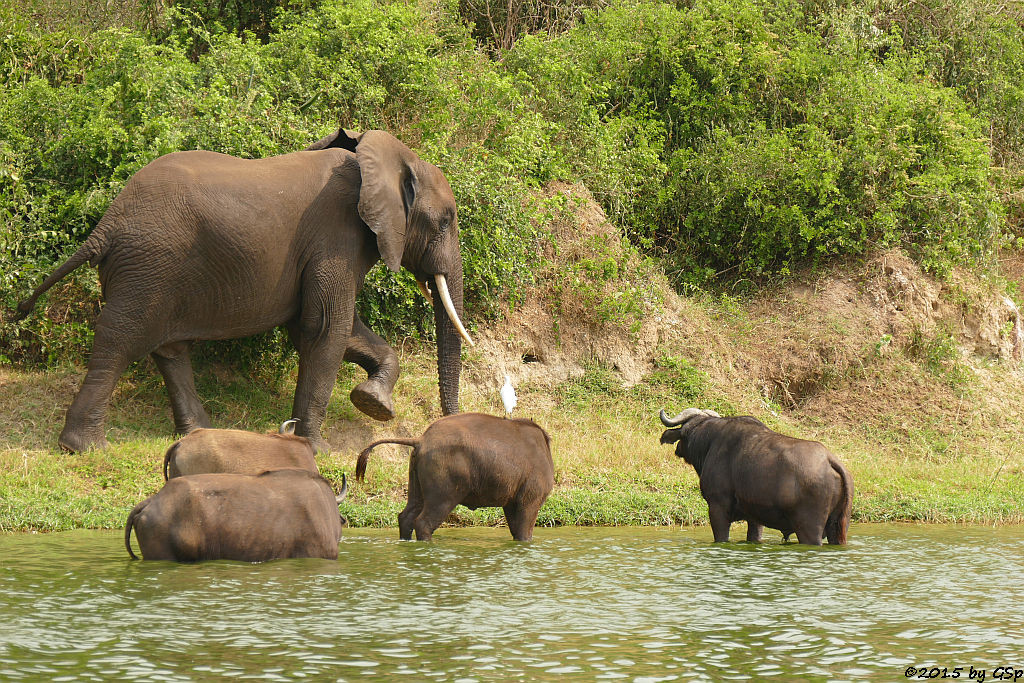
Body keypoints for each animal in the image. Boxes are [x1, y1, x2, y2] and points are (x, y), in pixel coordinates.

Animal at [17, 131, 471, 456]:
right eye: (446, 220)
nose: (445, 427)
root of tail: (106, 225)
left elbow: (325, 329)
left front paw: (373, 402)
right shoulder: (335, 237)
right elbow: (325, 329)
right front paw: (318, 449)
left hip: (156, 272)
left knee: (169, 348)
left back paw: (200, 431)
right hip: (149, 264)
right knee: (121, 339)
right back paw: (84, 448)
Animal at [356, 413, 557, 540]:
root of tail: (420, 440)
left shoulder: (510, 501)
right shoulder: (530, 499)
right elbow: (524, 533)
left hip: (416, 487)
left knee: (406, 516)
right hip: (444, 494)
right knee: (423, 522)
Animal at [659, 409, 851, 548]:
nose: (677, 450)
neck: (710, 442)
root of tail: (829, 459)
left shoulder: (717, 508)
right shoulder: (755, 517)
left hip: (809, 530)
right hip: (838, 529)